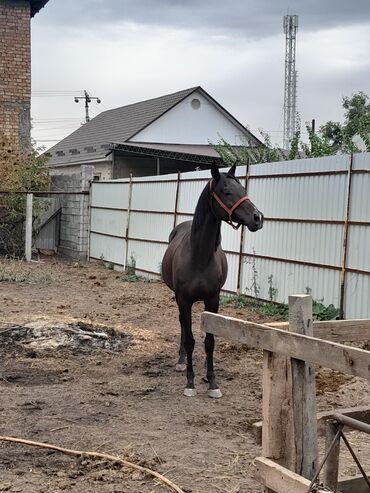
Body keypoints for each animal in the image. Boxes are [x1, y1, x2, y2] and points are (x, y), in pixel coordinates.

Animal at [162, 163, 264, 398]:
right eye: (226, 191)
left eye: (243, 188)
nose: (258, 218)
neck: (199, 255)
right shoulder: (184, 300)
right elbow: (191, 339)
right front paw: (190, 382)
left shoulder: (213, 300)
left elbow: (210, 341)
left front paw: (212, 382)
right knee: (183, 327)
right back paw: (181, 361)